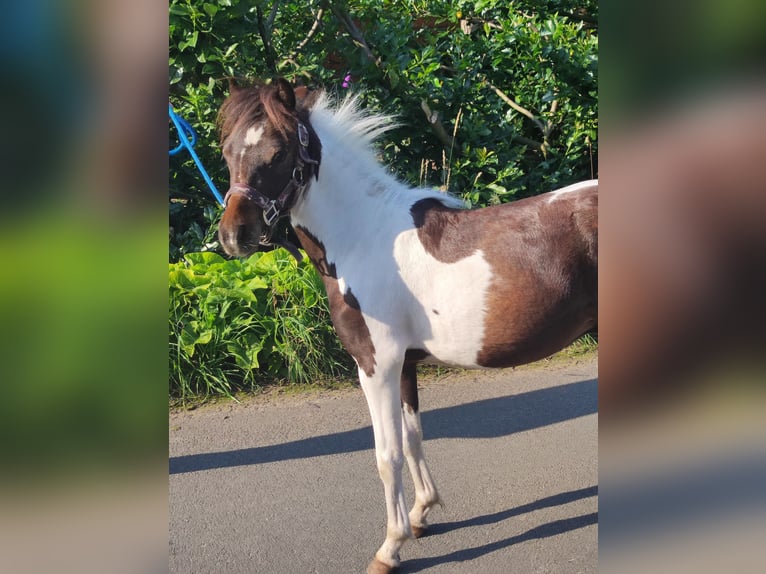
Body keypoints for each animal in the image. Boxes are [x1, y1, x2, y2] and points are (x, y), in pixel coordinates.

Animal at [216, 80, 600, 574]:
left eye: (278, 152)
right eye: (227, 150)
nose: (234, 236)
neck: (363, 236)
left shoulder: (375, 365)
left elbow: (388, 454)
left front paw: (390, 547)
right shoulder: (404, 366)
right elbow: (414, 437)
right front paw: (421, 514)